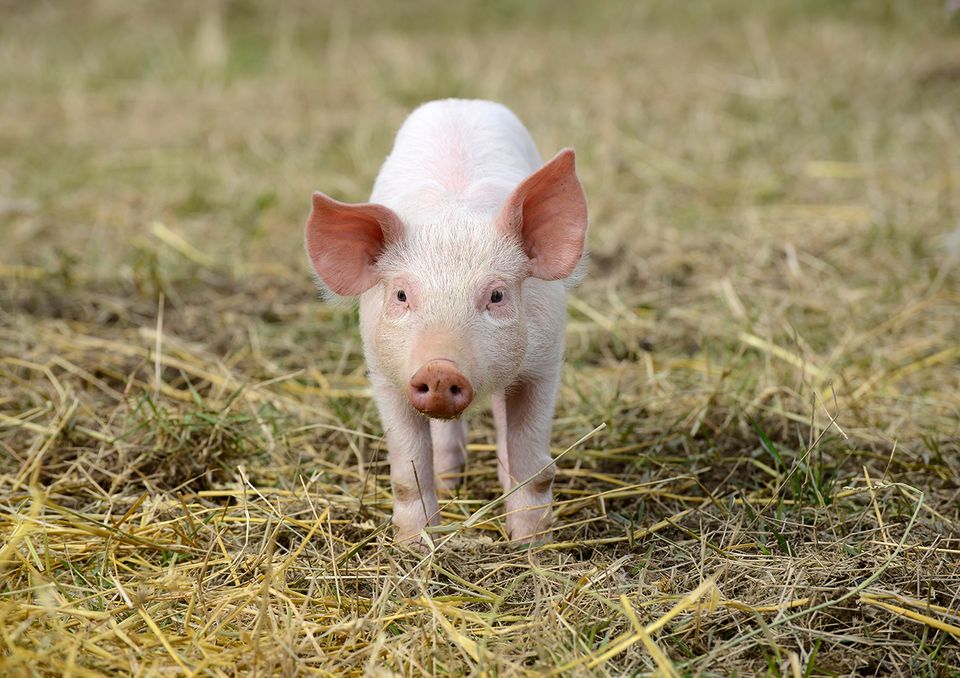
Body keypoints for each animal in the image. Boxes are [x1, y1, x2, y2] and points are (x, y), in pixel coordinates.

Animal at [304, 99, 587, 544]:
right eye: (401, 295)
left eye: (496, 296)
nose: (439, 369)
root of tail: (461, 103)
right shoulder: (382, 372)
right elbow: (407, 472)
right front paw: (414, 546)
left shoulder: (545, 361)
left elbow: (532, 464)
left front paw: (530, 545)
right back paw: (450, 481)